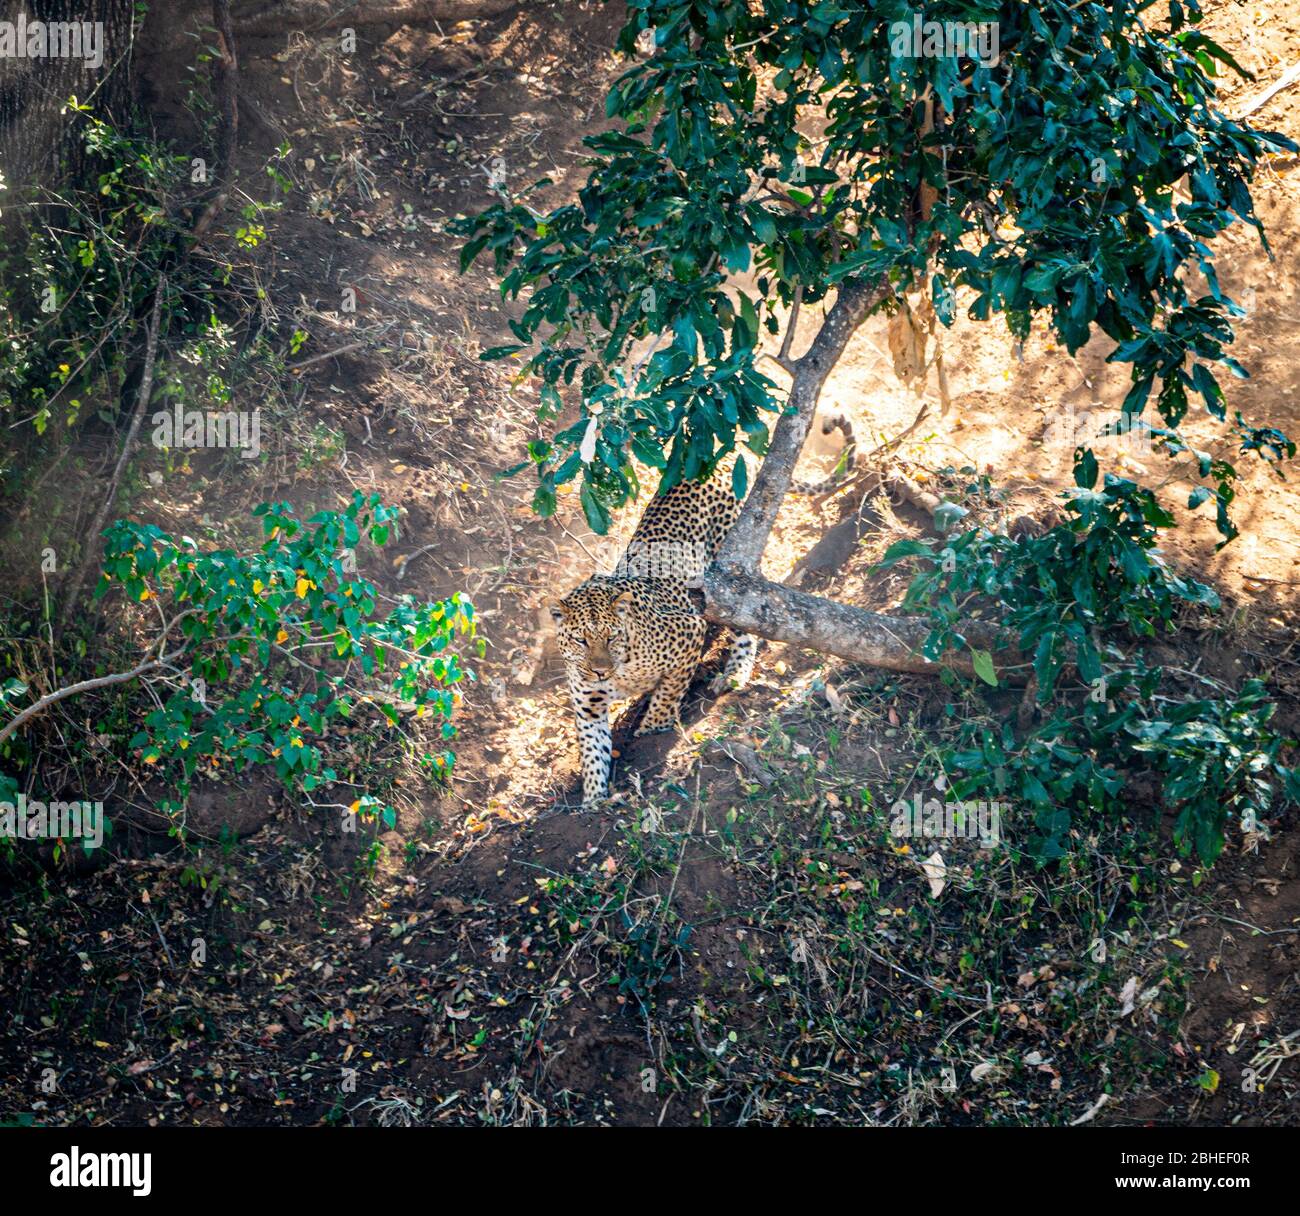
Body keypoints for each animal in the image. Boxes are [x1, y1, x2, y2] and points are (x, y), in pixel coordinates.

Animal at [551, 475, 759, 806]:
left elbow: (669, 692)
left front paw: (652, 726)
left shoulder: (689, 630)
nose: (599, 671)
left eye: (611, 637)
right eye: (580, 641)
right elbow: (593, 751)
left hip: (726, 575)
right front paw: (594, 798)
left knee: (747, 616)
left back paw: (734, 673)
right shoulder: (589, 707)